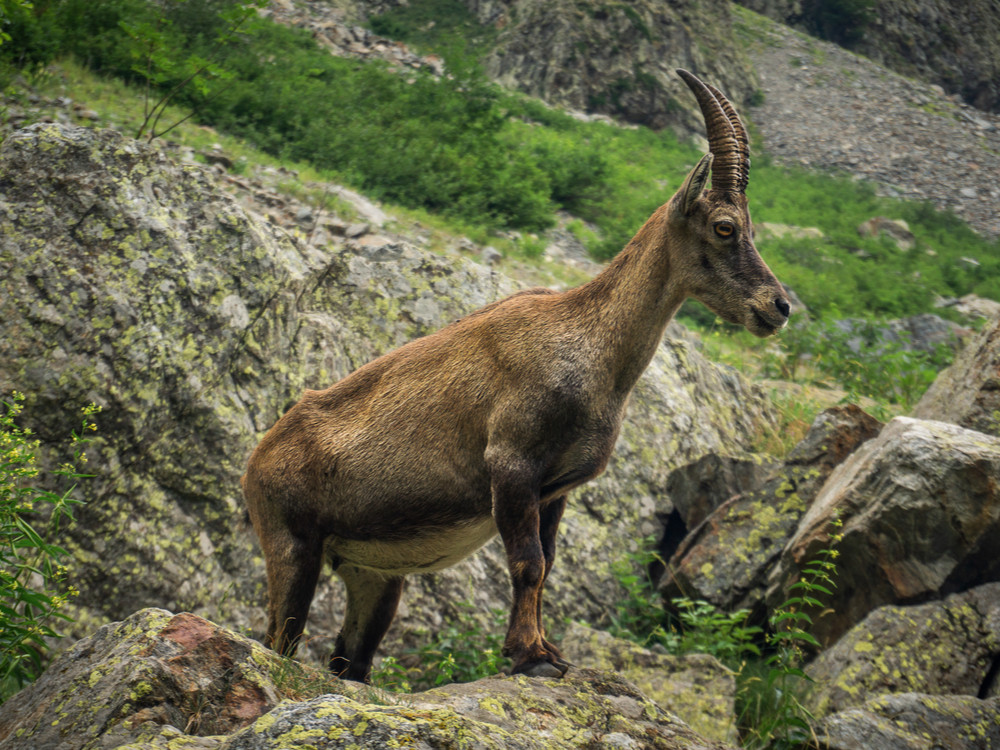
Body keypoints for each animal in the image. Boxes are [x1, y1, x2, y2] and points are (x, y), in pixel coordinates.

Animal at [242, 69, 788, 680]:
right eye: (725, 227)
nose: (779, 306)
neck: (588, 347)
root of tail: (258, 458)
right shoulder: (512, 466)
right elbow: (528, 564)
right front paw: (531, 655)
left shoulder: (556, 490)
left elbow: (546, 563)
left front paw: (544, 649)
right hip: (292, 545)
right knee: (279, 639)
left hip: (374, 574)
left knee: (347, 658)